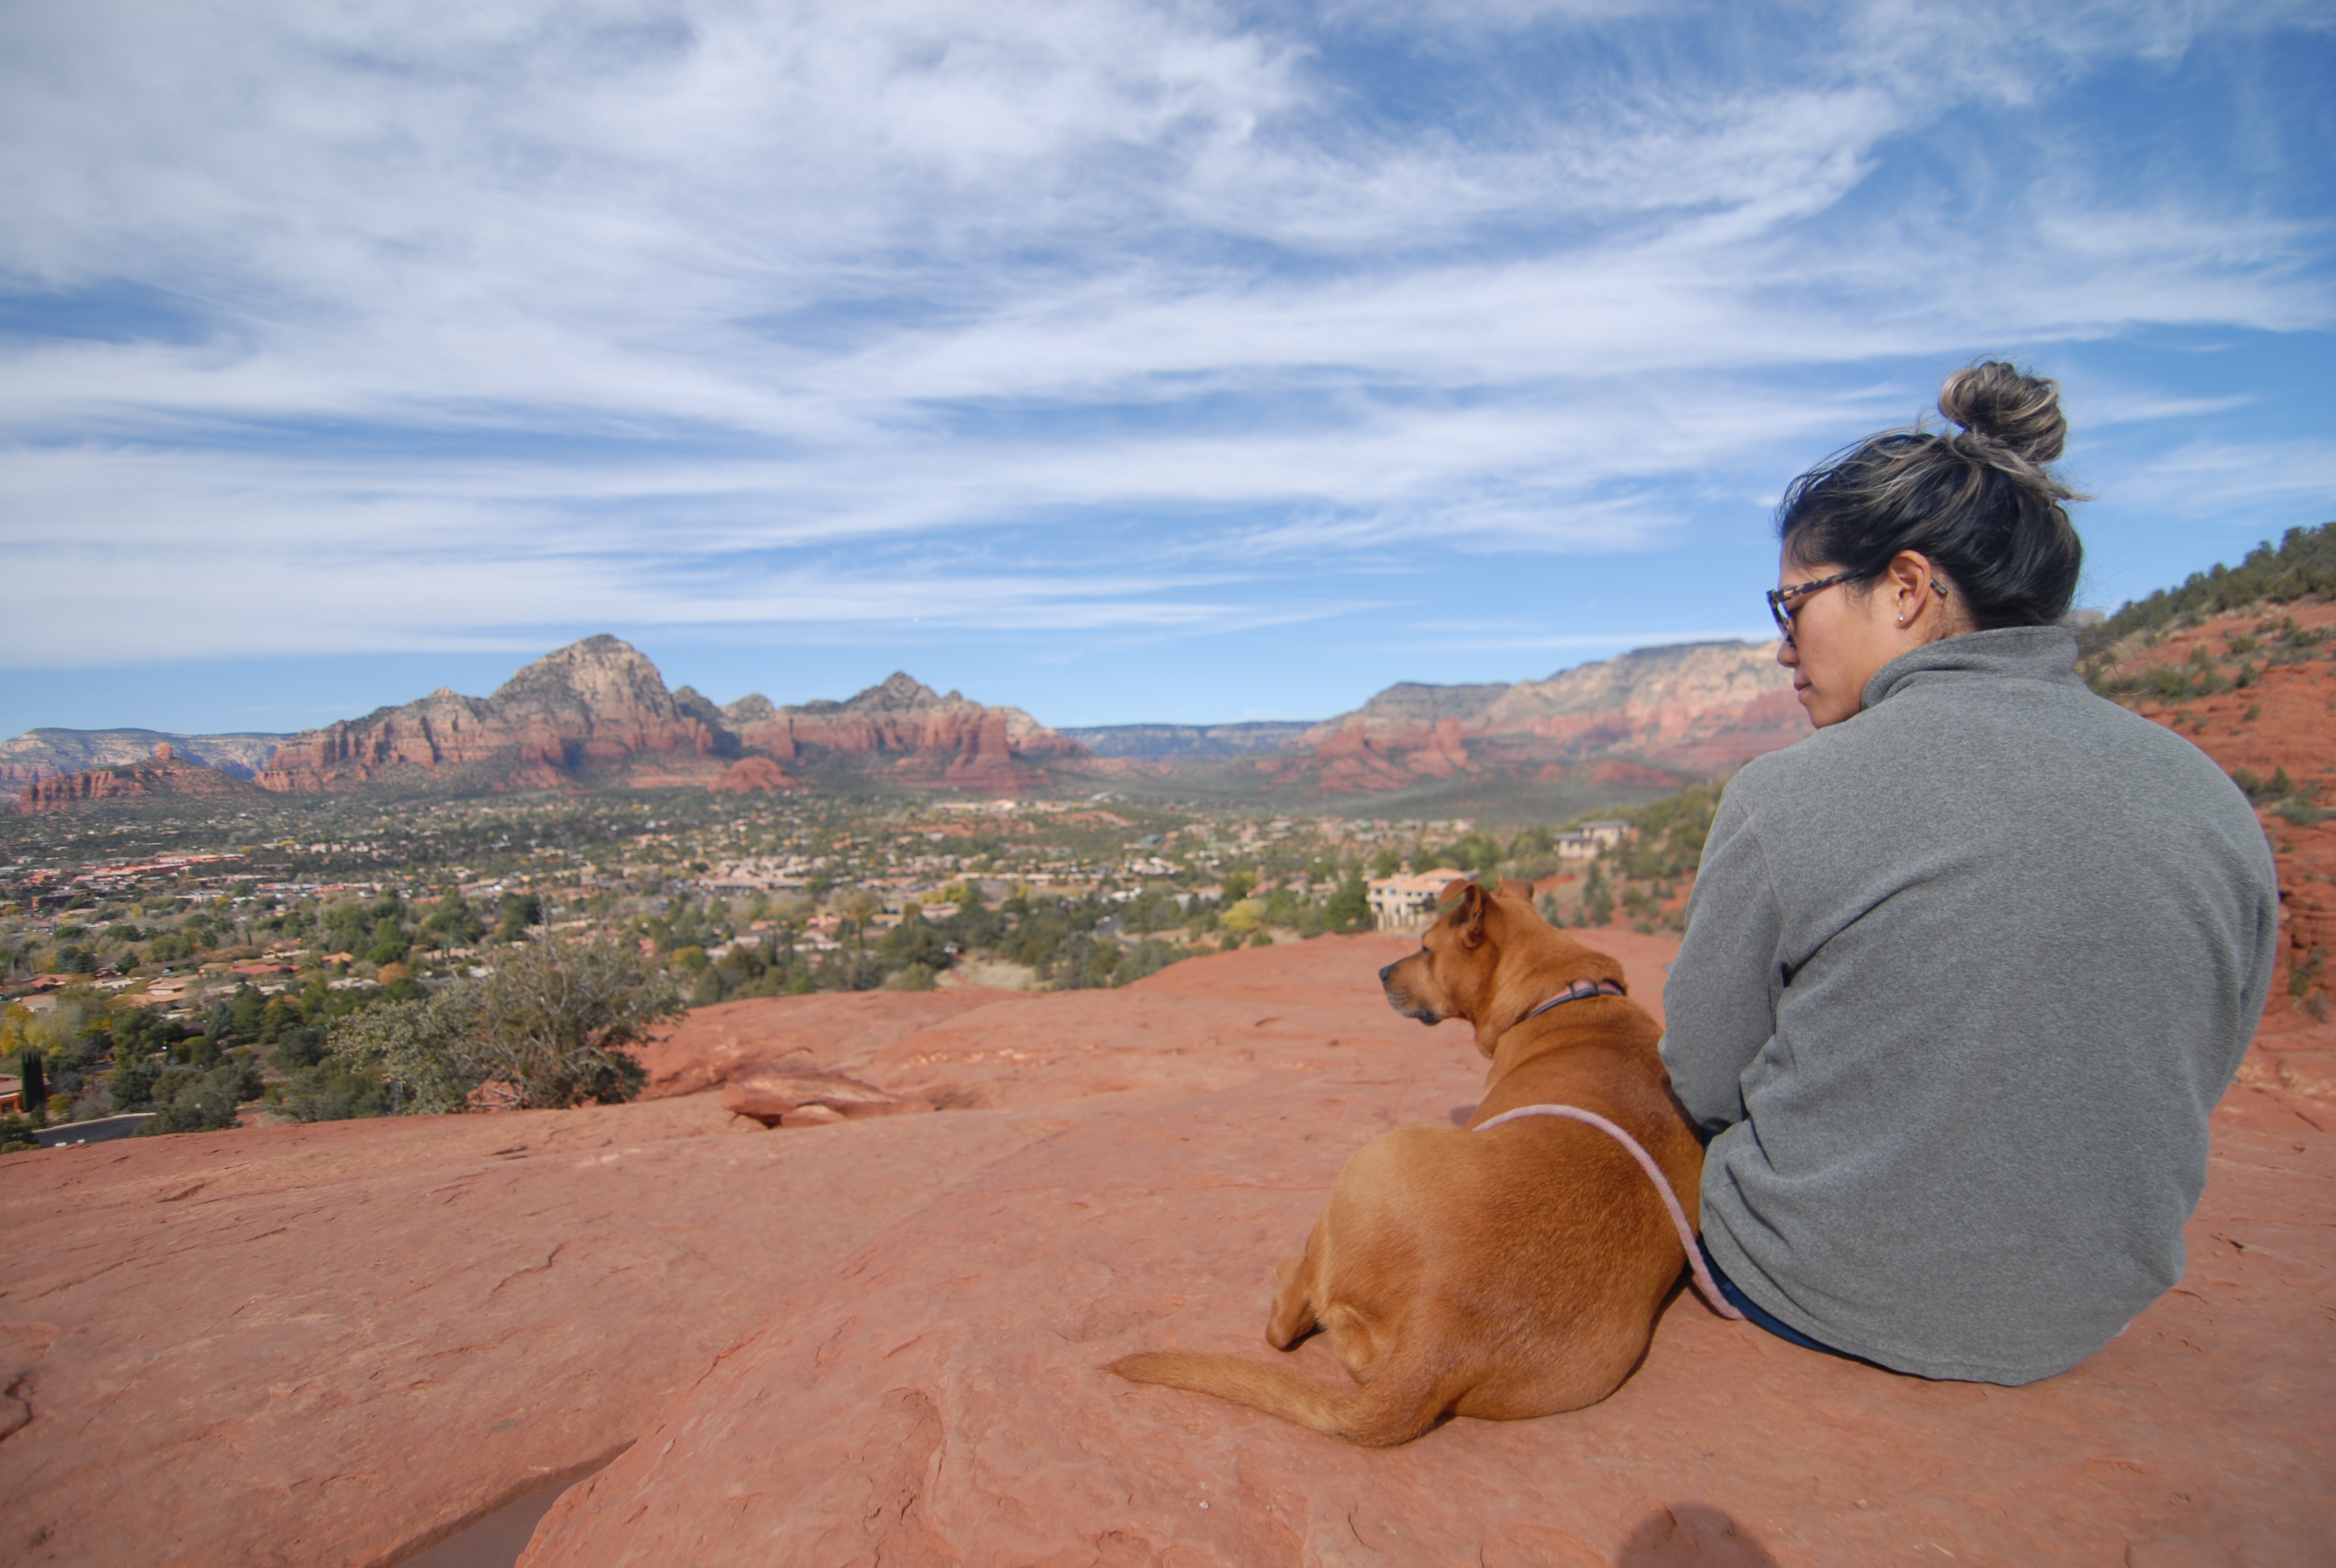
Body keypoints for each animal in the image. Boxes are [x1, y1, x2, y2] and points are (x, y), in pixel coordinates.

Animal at [1109, 878, 1706, 1446]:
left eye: (1423, 948)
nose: (1378, 971)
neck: (1564, 994)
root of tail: (1439, 1338)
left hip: (1367, 1163)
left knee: (1284, 1325)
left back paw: (1286, 1276)